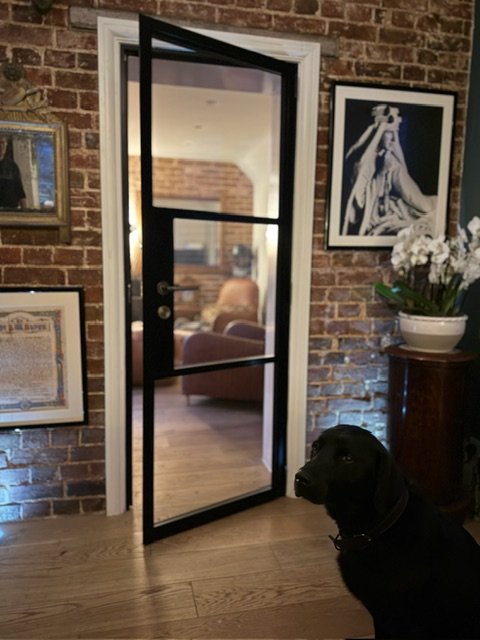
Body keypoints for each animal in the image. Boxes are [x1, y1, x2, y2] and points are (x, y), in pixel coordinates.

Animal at [294, 424, 480, 639]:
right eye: (316, 447)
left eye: (347, 458)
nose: (299, 478)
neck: (374, 532)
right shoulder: (381, 617)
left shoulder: (400, 622)